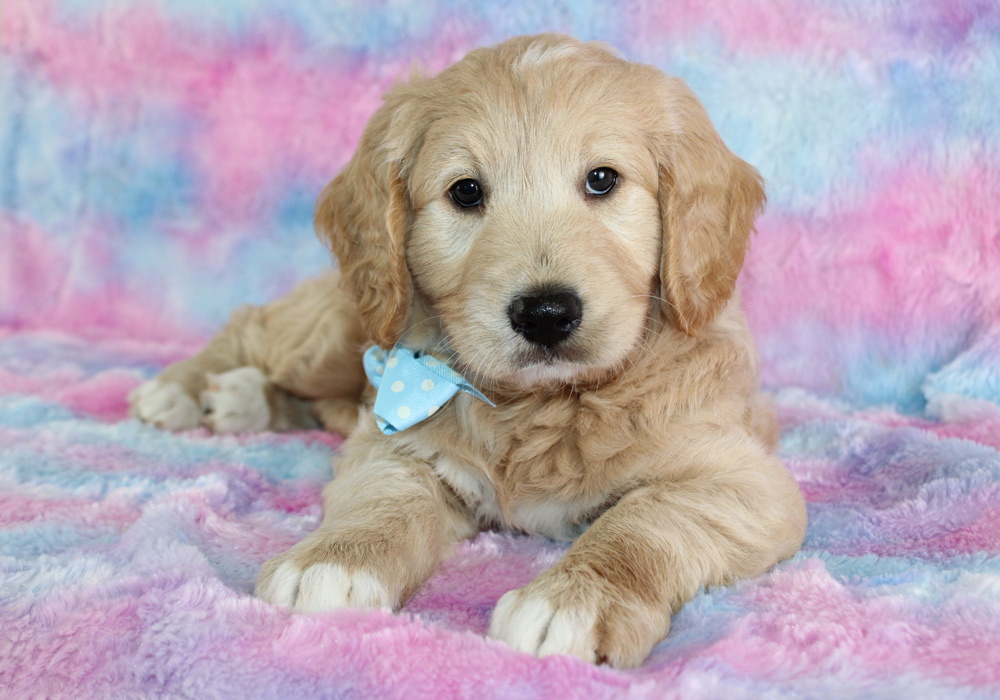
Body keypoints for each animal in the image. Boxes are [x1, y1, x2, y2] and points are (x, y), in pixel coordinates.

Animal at [129, 34, 807, 668]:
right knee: (254, 327)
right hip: (335, 332)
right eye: (466, 192)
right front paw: (335, 560)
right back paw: (183, 389)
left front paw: (573, 600)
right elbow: (385, 502)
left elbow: (644, 523)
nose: (546, 314)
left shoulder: (741, 481)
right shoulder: (393, 447)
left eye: (602, 180)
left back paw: (240, 399)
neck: (542, 408)